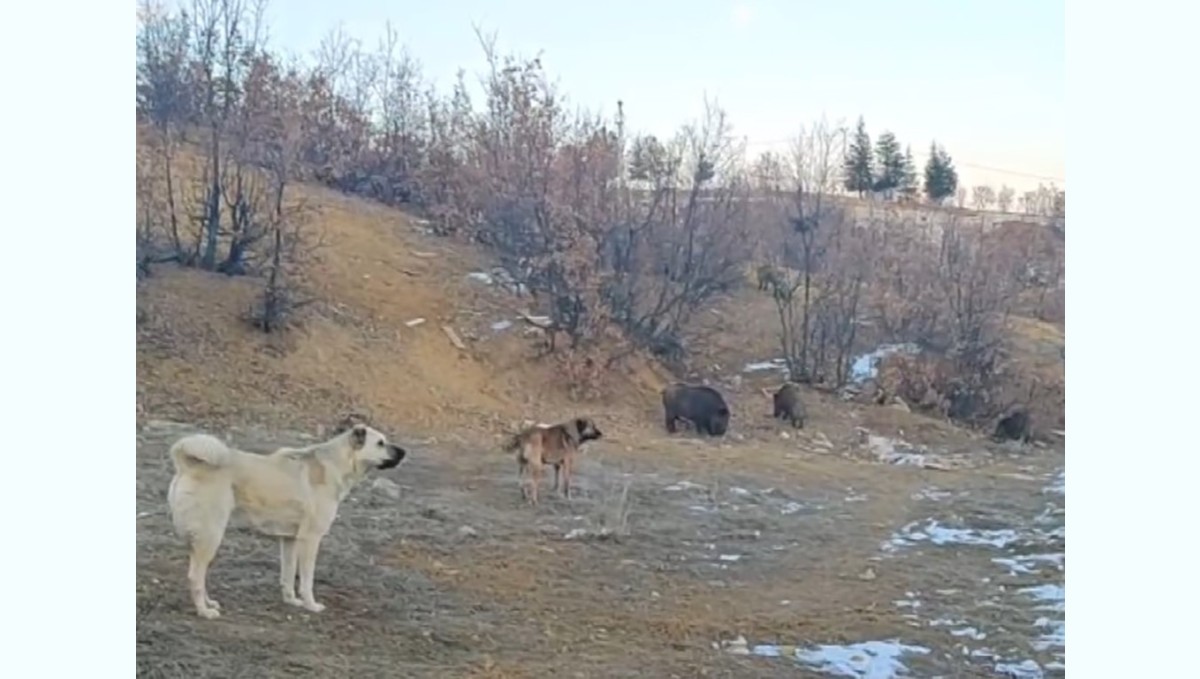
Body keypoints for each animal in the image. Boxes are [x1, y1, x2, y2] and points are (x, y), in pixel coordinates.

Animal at [164, 422, 410, 619]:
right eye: (380, 443)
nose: (405, 452)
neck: (337, 463)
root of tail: (188, 463)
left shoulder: (290, 540)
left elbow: (289, 575)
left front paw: (292, 601)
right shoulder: (310, 540)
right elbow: (307, 580)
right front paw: (311, 605)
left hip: (201, 539)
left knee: (198, 574)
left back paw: (208, 603)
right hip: (211, 536)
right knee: (195, 577)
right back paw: (204, 611)